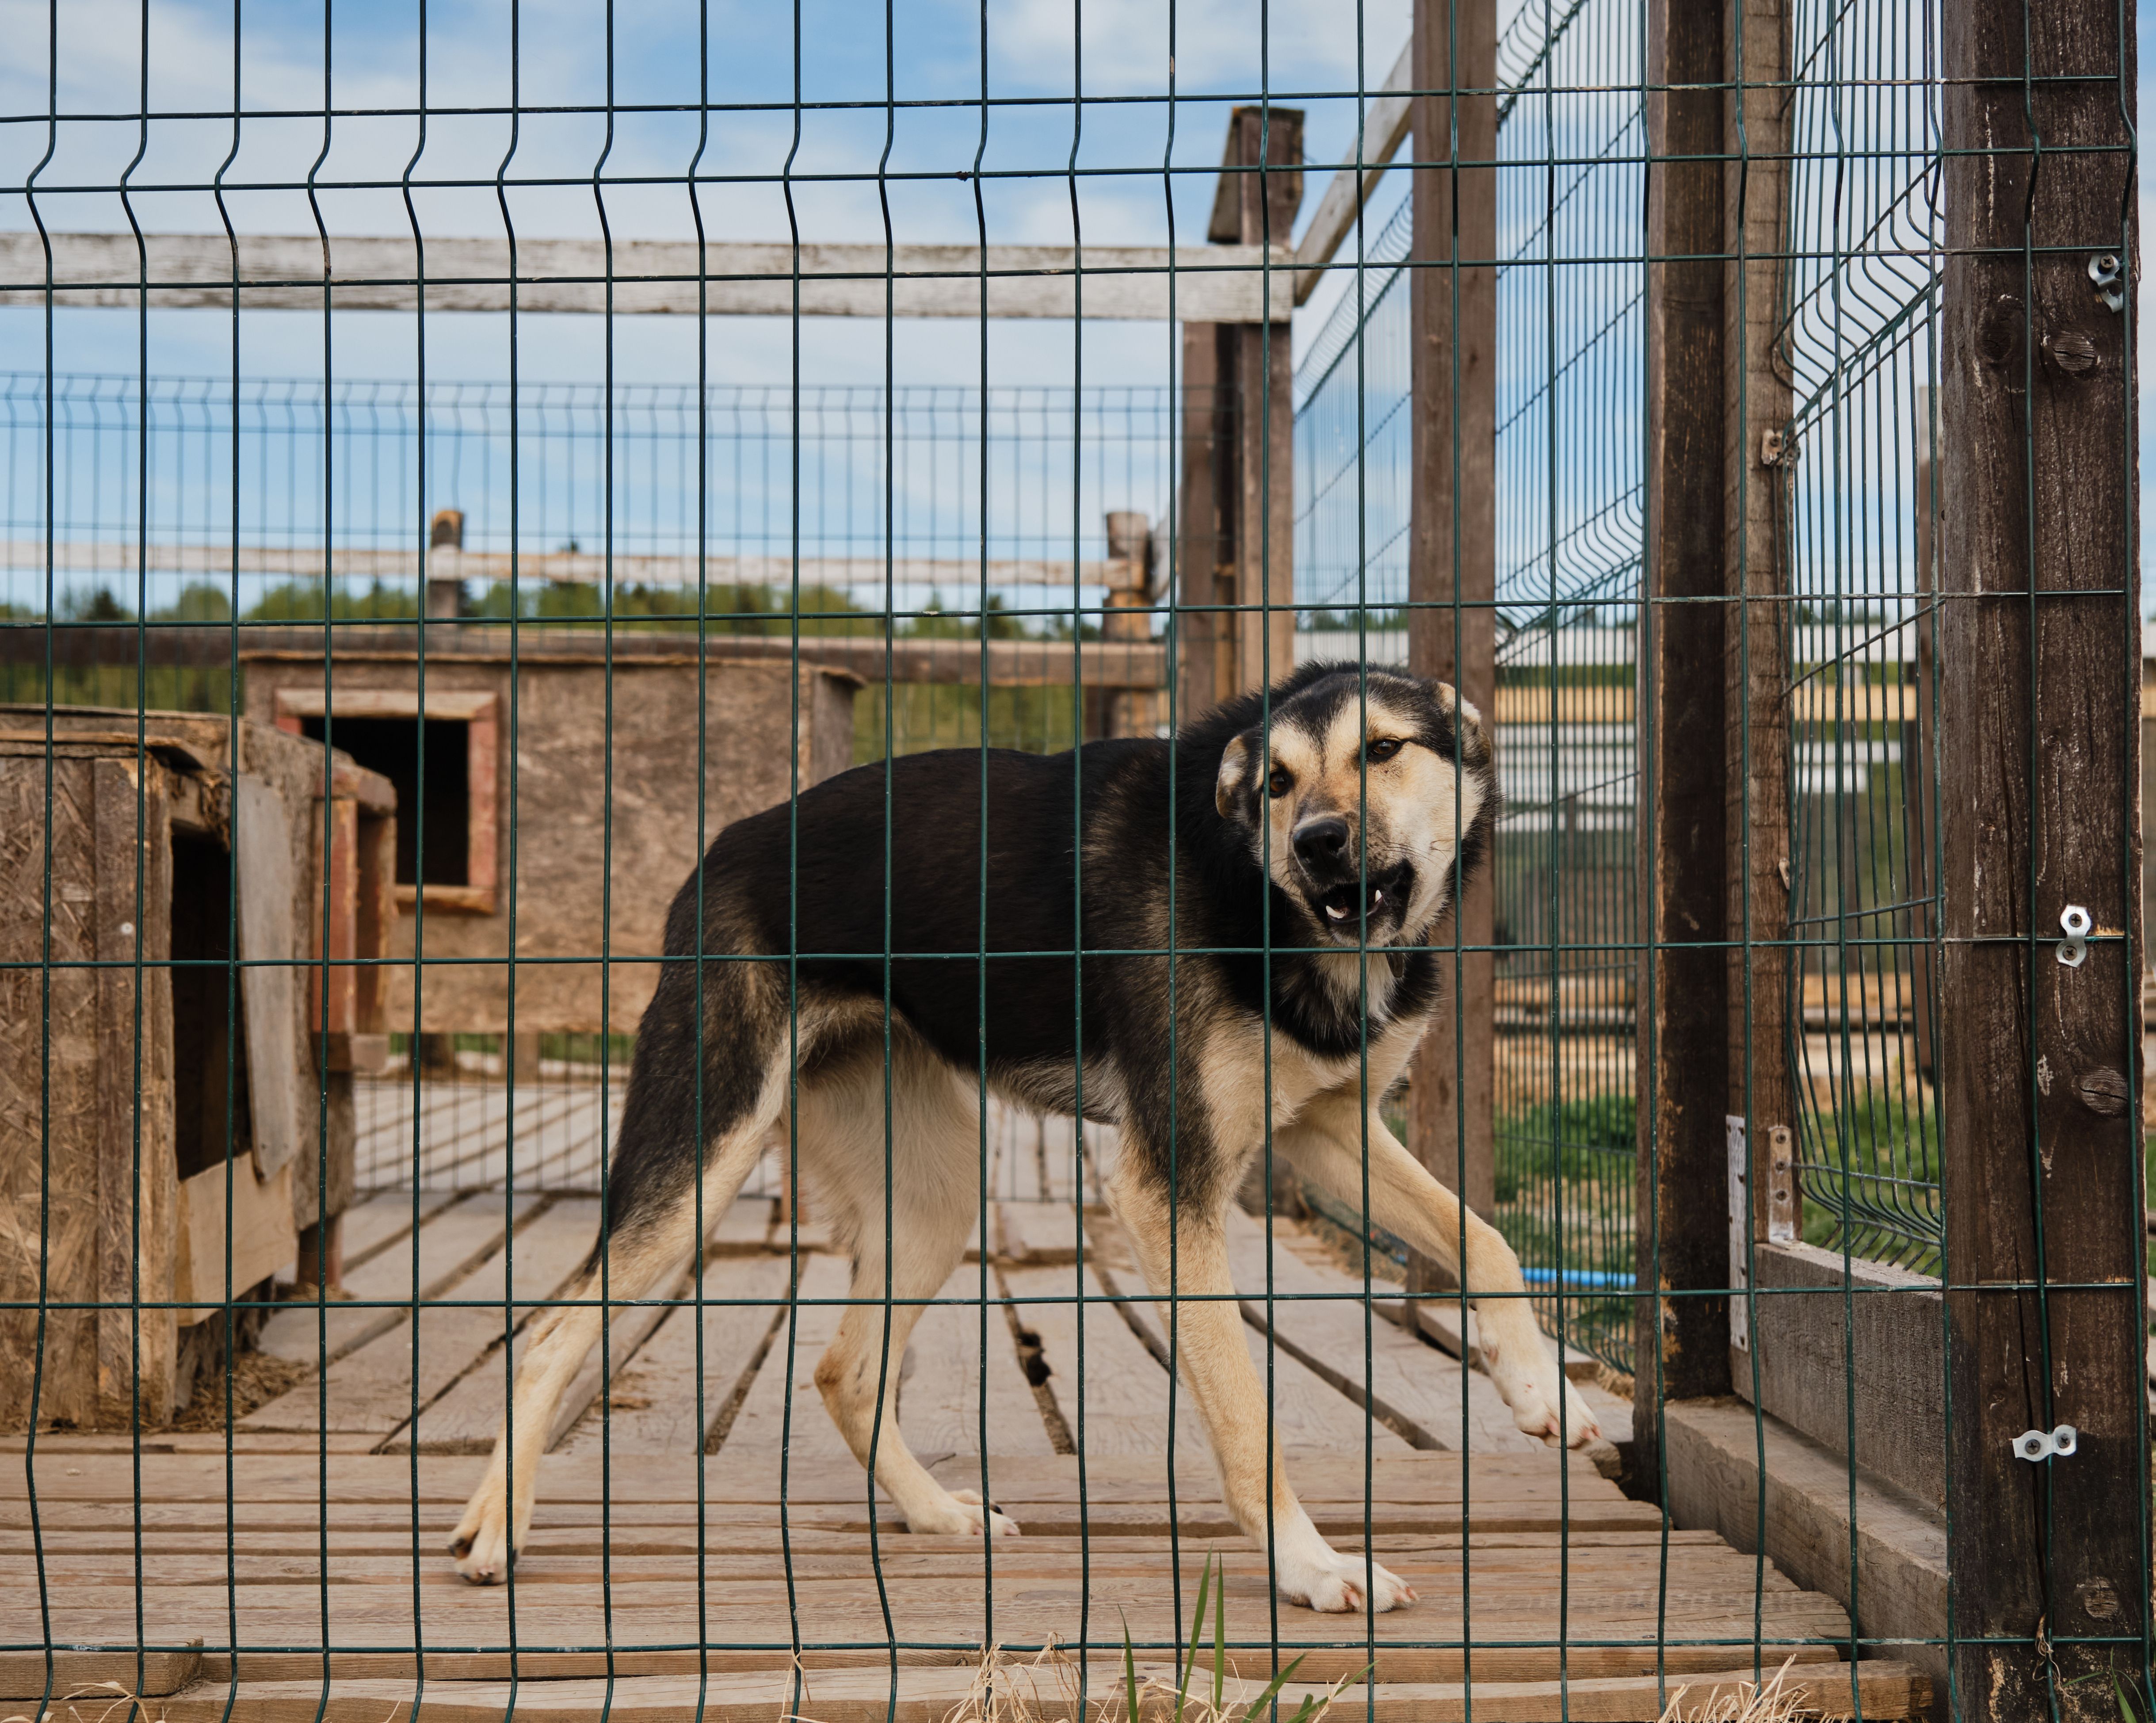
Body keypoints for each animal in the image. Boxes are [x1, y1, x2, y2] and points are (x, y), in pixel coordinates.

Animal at [446, 664, 1604, 1621]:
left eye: (1382, 749)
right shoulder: (1167, 1187)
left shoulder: (1326, 1129)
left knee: (843, 1370)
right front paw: (1308, 1565)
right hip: (704, 1149)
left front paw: (1541, 1390)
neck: (1257, 898)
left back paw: (932, 1515)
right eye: (1274, 781)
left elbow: (1484, 1235)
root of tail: (723, 846)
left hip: (932, 1191)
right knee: (549, 1332)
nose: (1315, 838)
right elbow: (1244, 1409)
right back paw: (496, 1528)